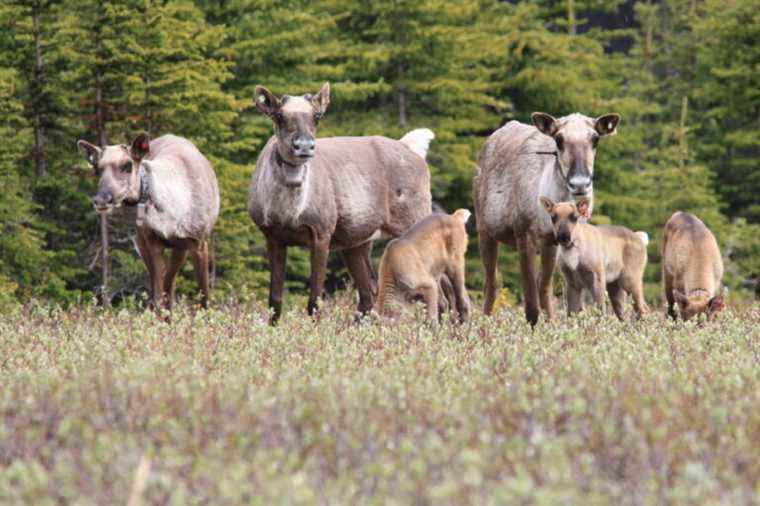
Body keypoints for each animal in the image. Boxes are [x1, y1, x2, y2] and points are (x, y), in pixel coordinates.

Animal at [78, 134, 220, 308]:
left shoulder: (198, 242)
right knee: (163, 285)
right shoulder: (152, 242)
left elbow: (204, 297)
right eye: (97, 168)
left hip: (180, 247)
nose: (101, 200)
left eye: (127, 165)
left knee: (169, 282)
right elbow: (158, 294)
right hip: (142, 241)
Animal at [249, 81, 434, 322]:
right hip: (357, 242)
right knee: (369, 292)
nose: (304, 146)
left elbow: (314, 300)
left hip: (415, 219)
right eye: (279, 115)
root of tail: (414, 150)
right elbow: (275, 301)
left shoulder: (322, 231)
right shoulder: (272, 236)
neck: (288, 214)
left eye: (317, 116)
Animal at [478, 111, 620, 326]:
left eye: (595, 139)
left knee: (543, 285)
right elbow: (530, 305)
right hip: (484, 229)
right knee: (491, 283)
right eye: (558, 139)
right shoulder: (523, 235)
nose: (580, 184)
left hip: (548, 246)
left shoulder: (559, 241)